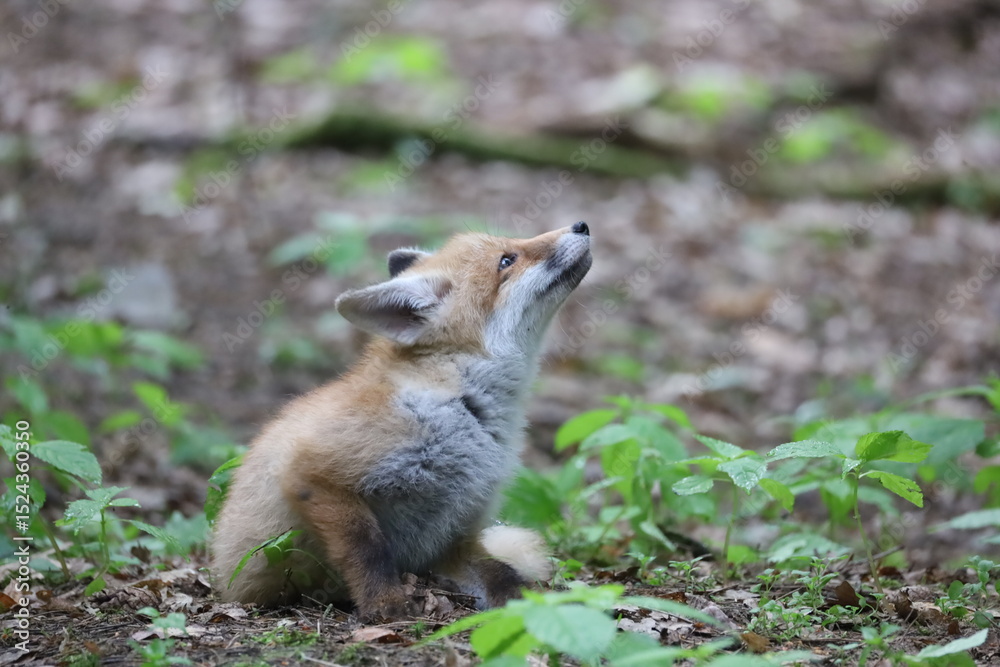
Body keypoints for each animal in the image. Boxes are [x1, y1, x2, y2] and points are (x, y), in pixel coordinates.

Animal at [211, 221, 592, 620]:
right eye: (507, 260)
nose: (581, 225)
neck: (462, 408)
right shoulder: (313, 471)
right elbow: (367, 549)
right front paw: (385, 603)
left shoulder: (453, 536)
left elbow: (500, 572)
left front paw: (533, 606)